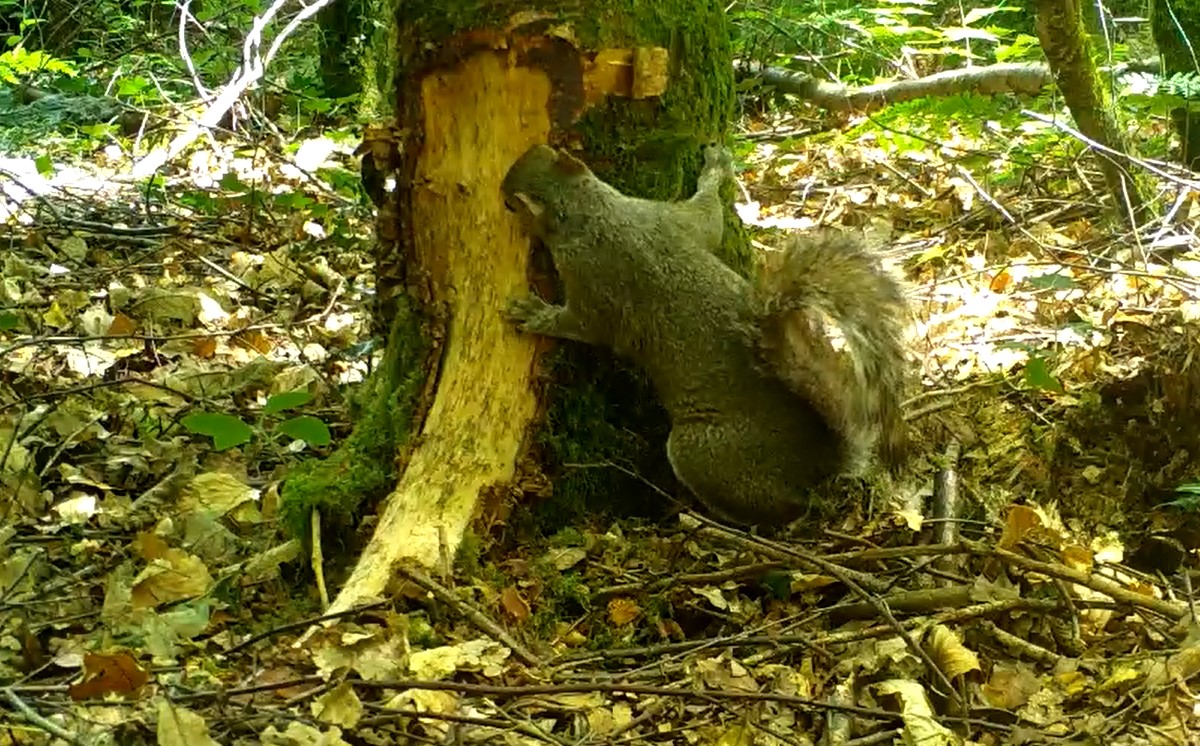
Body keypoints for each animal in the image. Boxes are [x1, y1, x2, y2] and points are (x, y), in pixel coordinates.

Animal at [501, 140, 902, 525]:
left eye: (510, 203)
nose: (502, 192)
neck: (594, 211)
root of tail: (818, 464)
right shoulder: (668, 218)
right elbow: (709, 217)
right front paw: (715, 169)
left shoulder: (594, 280)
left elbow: (586, 325)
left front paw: (535, 315)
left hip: (704, 454)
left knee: (783, 508)